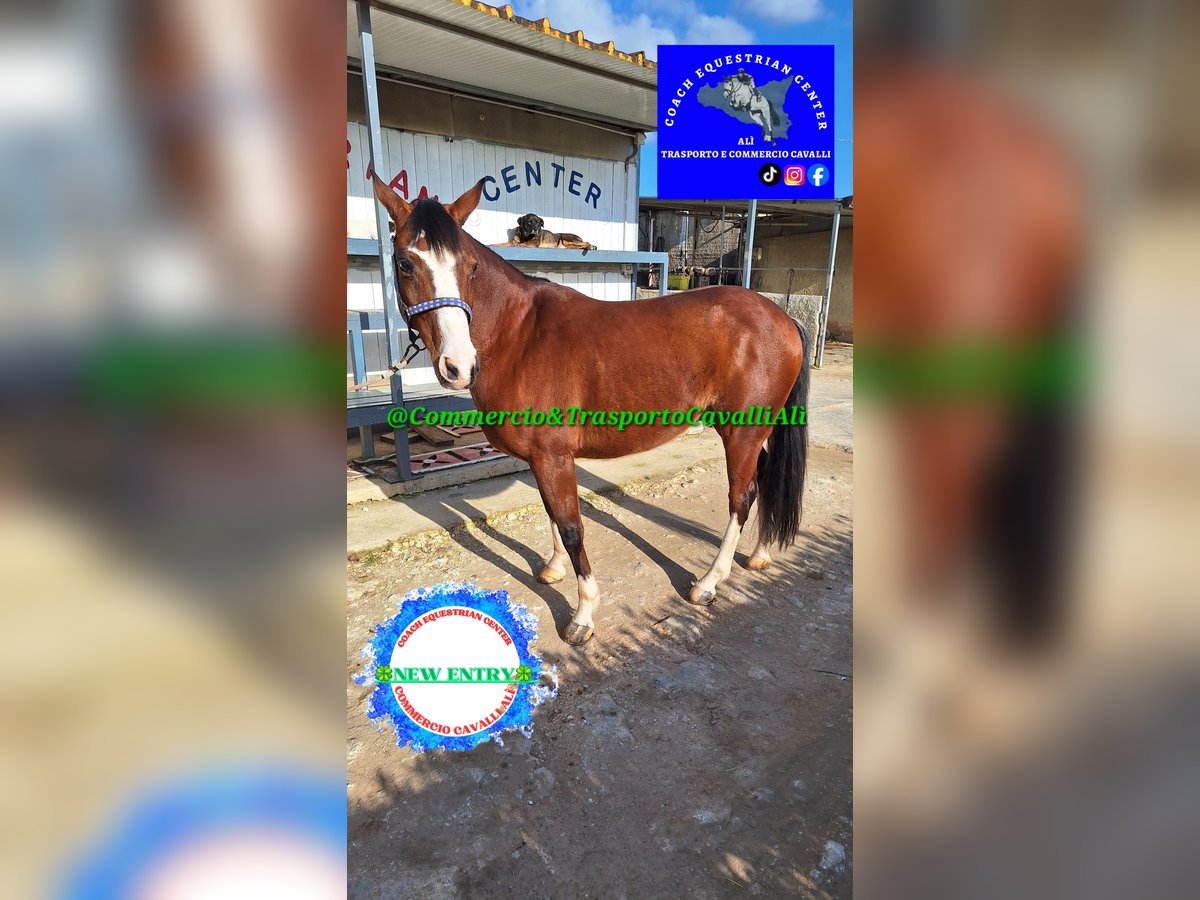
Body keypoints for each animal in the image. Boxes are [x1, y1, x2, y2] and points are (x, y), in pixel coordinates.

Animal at [372, 177, 810, 645]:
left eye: (470, 267)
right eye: (404, 263)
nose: (458, 366)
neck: (519, 336)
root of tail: (782, 316)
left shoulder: (553, 456)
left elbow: (571, 525)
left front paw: (583, 615)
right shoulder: (542, 459)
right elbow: (551, 513)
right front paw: (553, 569)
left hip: (741, 431)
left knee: (742, 496)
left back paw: (709, 582)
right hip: (758, 431)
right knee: (766, 478)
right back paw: (761, 553)